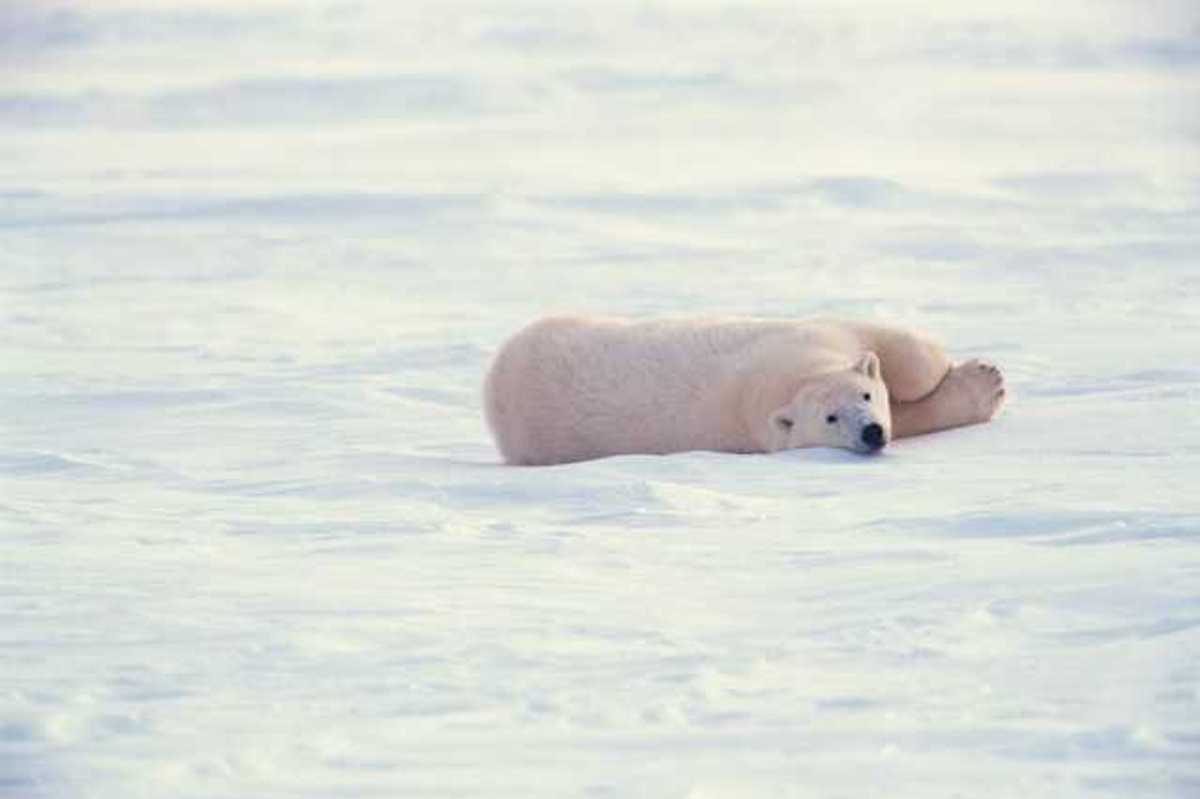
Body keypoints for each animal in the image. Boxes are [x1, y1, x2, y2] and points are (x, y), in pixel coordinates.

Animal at [483, 316, 1005, 466]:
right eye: (829, 419)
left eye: (863, 396)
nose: (871, 433)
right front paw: (985, 383)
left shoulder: (809, 333)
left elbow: (901, 353)